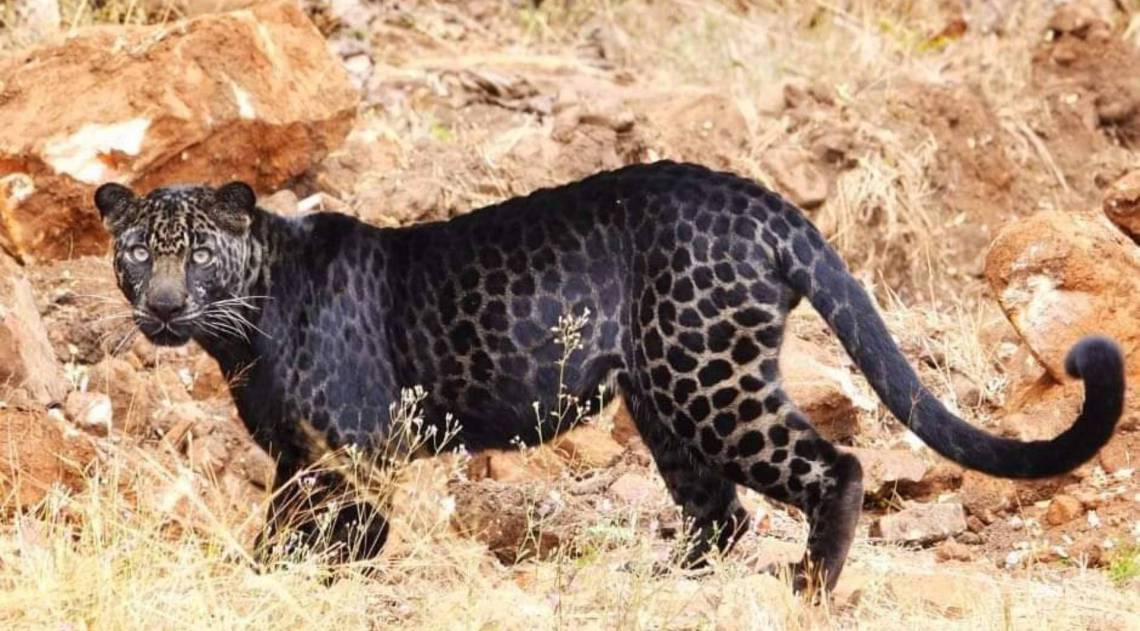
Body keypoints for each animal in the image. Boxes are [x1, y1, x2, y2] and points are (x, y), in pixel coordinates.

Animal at [94, 161, 1125, 593]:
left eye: (196, 253)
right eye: (140, 253)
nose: (165, 306)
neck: (247, 322)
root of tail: (762, 201)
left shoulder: (355, 443)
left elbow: (334, 530)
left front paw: (312, 577)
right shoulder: (300, 453)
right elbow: (287, 522)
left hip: (707, 378)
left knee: (833, 466)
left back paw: (812, 585)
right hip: (664, 396)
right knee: (721, 511)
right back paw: (663, 577)